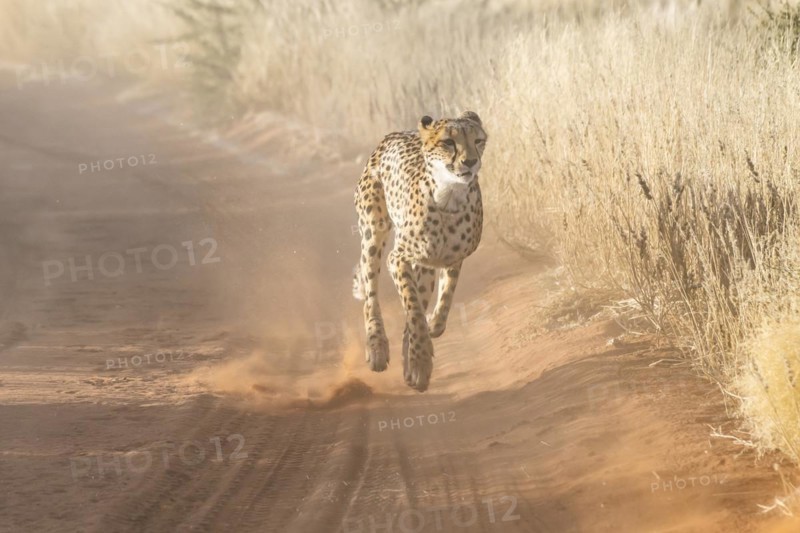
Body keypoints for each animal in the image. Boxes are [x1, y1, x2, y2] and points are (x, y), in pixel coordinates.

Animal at [352, 111, 487, 392]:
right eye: (448, 142)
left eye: (478, 140)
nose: (470, 162)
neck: (449, 196)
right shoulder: (398, 258)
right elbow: (413, 308)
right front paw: (420, 360)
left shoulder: (452, 259)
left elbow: (445, 298)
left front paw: (432, 328)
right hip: (372, 232)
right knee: (371, 295)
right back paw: (377, 347)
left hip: (424, 264)